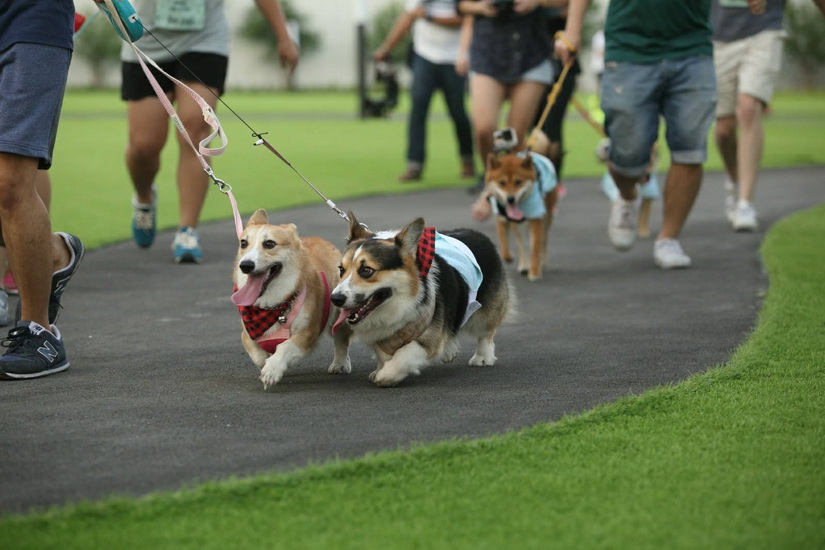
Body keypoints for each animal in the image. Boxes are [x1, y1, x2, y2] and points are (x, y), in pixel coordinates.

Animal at [230, 209, 352, 390]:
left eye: (269, 244)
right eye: (243, 243)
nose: (245, 265)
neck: (273, 305)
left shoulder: (307, 332)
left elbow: (285, 347)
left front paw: (272, 370)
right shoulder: (247, 334)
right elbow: (259, 356)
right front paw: (268, 364)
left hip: (339, 314)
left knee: (341, 340)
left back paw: (340, 364)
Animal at [330, 211, 512, 388]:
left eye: (366, 270)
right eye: (341, 269)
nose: (335, 299)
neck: (399, 303)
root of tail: (478, 234)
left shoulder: (428, 337)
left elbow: (405, 355)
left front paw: (386, 374)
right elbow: (383, 355)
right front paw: (380, 368)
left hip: (487, 311)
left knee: (486, 332)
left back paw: (483, 357)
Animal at [482, 151, 560, 280]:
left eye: (518, 182)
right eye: (502, 183)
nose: (510, 199)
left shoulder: (535, 218)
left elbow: (535, 248)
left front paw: (534, 272)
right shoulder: (502, 218)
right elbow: (505, 248)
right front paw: (510, 257)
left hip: (547, 215)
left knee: (543, 240)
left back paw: (541, 262)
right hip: (518, 225)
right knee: (521, 243)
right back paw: (524, 265)